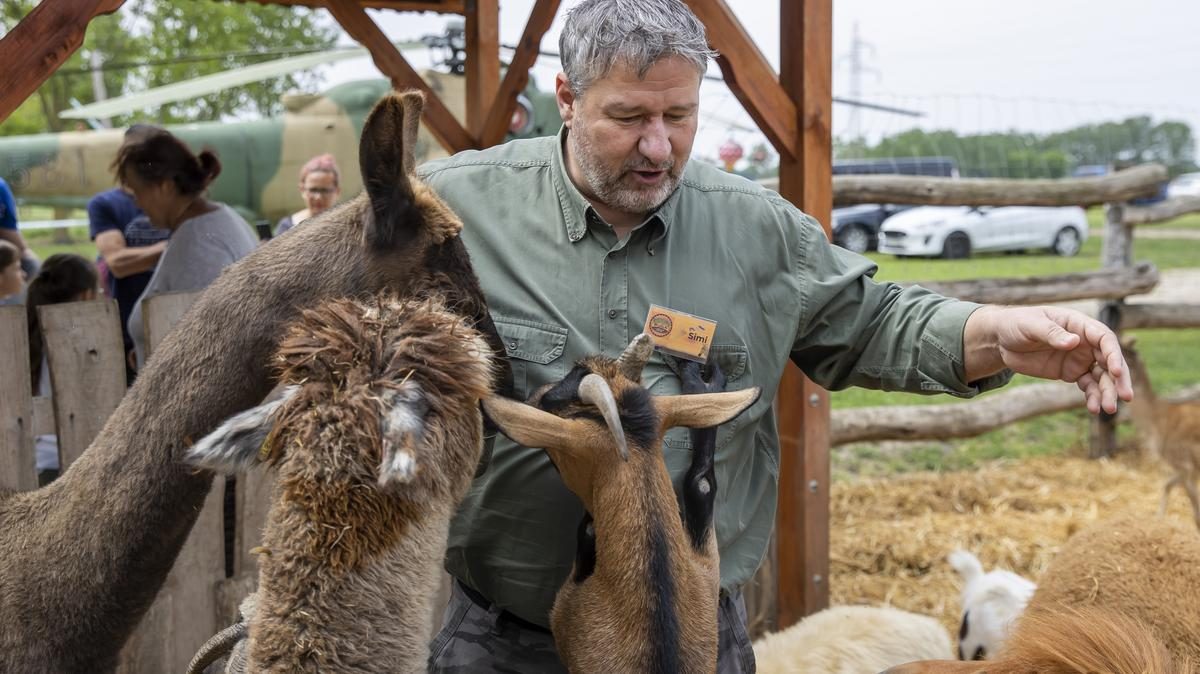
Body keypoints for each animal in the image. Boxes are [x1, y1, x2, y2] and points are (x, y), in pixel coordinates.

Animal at [480, 333, 753, 671]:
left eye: (551, 404)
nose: (534, 394)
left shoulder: (566, 617)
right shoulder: (707, 576)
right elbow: (701, 483)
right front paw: (701, 383)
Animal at [1123, 338, 1200, 527]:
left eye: (1125, 355)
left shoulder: (1184, 463)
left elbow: (1196, 512)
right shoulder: (1188, 468)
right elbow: (1167, 485)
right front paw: (1159, 517)